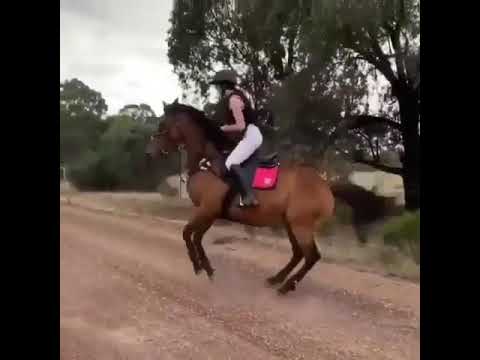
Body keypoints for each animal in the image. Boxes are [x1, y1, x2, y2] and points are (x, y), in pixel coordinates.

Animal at [146, 99, 386, 296]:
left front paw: (199, 267)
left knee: (311, 256)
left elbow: (188, 234)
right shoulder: (210, 213)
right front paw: (206, 267)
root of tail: (325, 184)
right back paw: (275, 279)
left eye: (162, 126)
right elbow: (195, 237)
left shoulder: (207, 209)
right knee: (298, 253)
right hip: (290, 223)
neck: (207, 163)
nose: (150, 152)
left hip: (301, 225)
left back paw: (286, 286)